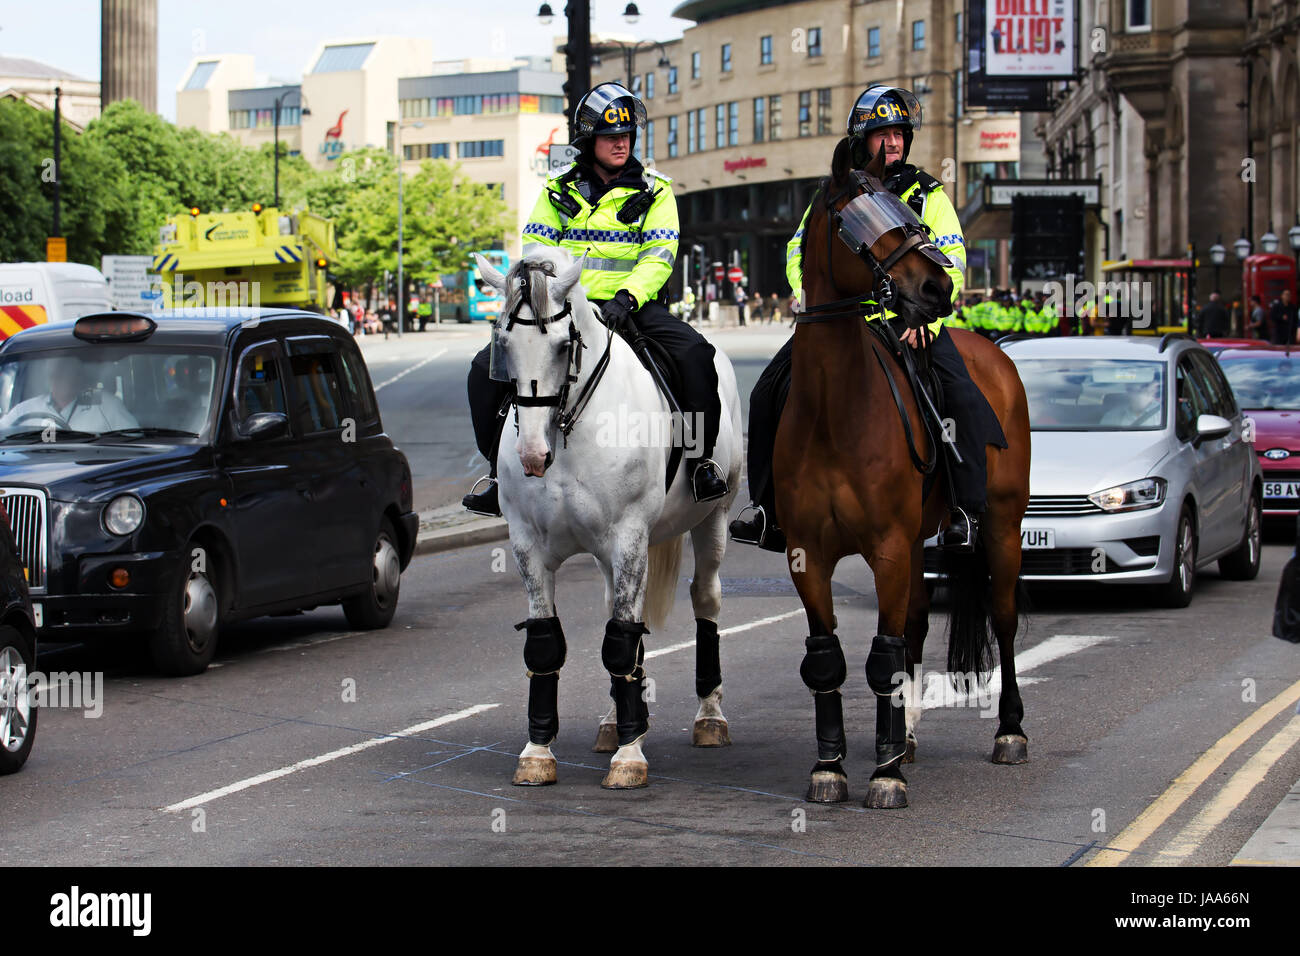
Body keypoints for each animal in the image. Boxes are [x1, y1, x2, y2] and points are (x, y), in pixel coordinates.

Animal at [475, 248, 743, 790]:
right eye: (503, 344)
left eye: (563, 345)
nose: (532, 455)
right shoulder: (528, 545)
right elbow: (548, 644)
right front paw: (538, 751)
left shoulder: (628, 538)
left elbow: (621, 643)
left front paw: (630, 756)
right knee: (620, 617)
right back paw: (613, 721)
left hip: (712, 521)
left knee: (704, 600)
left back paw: (709, 716)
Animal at [769, 136, 1034, 806]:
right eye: (858, 219)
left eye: (911, 213)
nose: (938, 289)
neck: (834, 408)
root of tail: (990, 347)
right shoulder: (809, 553)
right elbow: (829, 658)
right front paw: (831, 765)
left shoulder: (887, 546)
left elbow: (882, 656)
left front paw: (884, 775)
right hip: (918, 540)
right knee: (914, 623)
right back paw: (907, 735)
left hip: (1001, 525)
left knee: (1003, 620)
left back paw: (1010, 732)